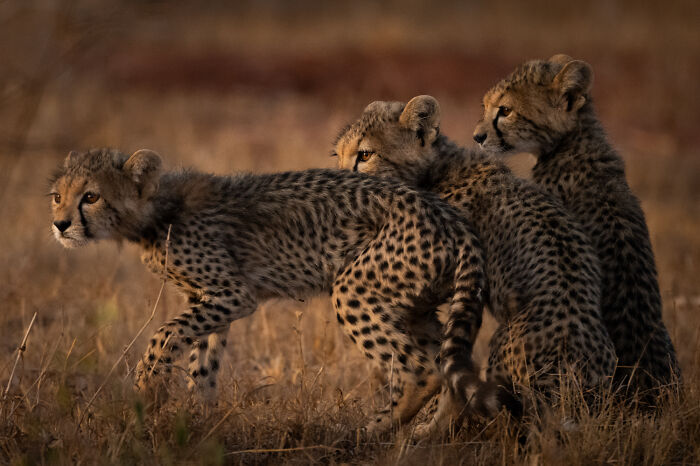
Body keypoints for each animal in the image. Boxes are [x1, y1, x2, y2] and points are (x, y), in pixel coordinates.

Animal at [48, 147, 494, 434]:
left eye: (91, 196)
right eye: (57, 197)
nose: (60, 225)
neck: (156, 212)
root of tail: (452, 217)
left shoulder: (233, 294)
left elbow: (164, 334)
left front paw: (149, 391)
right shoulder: (208, 300)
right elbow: (203, 363)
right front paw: (201, 421)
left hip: (354, 289)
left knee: (420, 369)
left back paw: (373, 429)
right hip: (416, 306)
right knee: (448, 367)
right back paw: (426, 437)